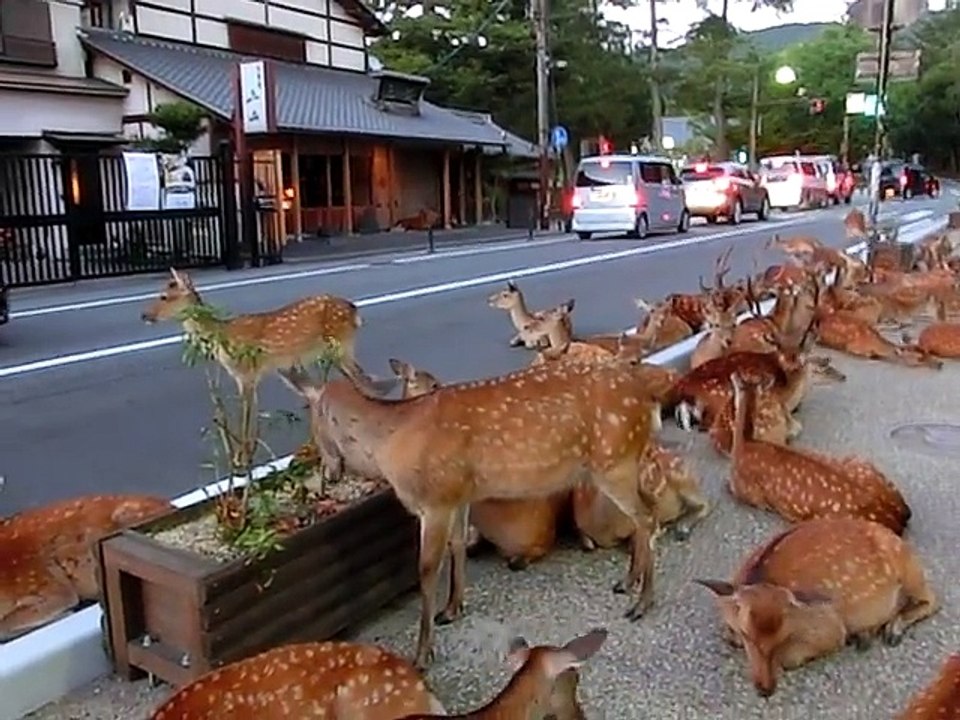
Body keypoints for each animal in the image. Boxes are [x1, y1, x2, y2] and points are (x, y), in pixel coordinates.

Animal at [142, 268, 386, 466]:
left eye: (164, 296)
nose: (144, 315)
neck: (222, 337)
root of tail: (354, 310)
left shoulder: (245, 373)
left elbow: (245, 414)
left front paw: (240, 460)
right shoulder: (252, 375)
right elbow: (255, 412)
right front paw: (246, 456)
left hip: (340, 344)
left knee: (364, 381)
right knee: (347, 385)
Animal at [279, 357, 664, 669]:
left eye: (311, 416)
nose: (326, 474)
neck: (389, 444)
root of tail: (646, 398)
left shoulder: (434, 500)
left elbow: (427, 569)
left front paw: (422, 654)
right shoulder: (458, 494)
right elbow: (458, 546)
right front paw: (452, 609)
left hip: (614, 460)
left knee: (648, 517)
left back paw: (642, 603)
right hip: (618, 462)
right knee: (645, 513)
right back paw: (627, 582)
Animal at [695, 517, 939, 698]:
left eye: (783, 637)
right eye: (746, 634)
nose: (766, 689)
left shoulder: (830, 627)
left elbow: (791, 658)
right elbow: (728, 635)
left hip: (910, 571)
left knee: (933, 600)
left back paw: (890, 631)